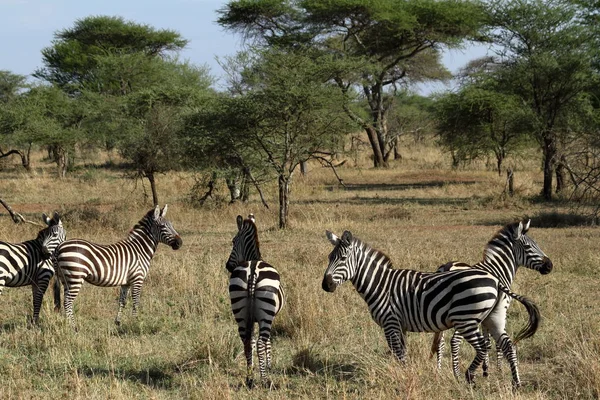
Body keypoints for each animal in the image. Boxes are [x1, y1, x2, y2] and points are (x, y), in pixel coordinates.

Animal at [52, 205, 182, 330]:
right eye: (162, 226)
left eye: (171, 225)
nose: (180, 243)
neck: (139, 249)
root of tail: (59, 247)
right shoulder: (137, 278)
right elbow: (135, 302)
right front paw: (135, 322)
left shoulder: (126, 282)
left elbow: (122, 301)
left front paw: (118, 322)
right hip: (75, 278)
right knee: (68, 302)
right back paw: (73, 327)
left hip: (65, 279)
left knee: (65, 301)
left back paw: (67, 324)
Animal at [226, 216, 284, 388]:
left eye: (233, 241)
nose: (228, 266)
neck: (253, 258)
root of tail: (253, 270)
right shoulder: (270, 317)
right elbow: (268, 343)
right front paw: (269, 365)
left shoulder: (251, 318)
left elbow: (250, 342)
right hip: (266, 312)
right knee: (260, 342)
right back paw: (265, 380)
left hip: (239, 310)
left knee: (247, 342)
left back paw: (250, 378)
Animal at [324, 230, 544, 390]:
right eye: (329, 257)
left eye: (342, 258)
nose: (325, 285)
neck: (381, 284)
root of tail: (496, 280)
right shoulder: (399, 326)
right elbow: (402, 352)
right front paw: (404, 373)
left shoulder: (390, 322)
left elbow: (397, 353)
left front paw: (401, 375)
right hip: (493, 318)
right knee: (507, 345)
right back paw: (516, 383)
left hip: (466, 319)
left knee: (483, 346)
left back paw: (469, 377)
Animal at [432, 220, 552, 380]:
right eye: (528, 247)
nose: (550, 266)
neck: (497, 270)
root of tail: (448, 266)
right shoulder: (496, 310)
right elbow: (496, 343)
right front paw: (498, 370)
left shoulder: (485, 315)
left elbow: (487, 340)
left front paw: (486, 369)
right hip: (462, 315)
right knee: (454, 341)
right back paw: (456, 374)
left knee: (440, 342)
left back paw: (439, 372)